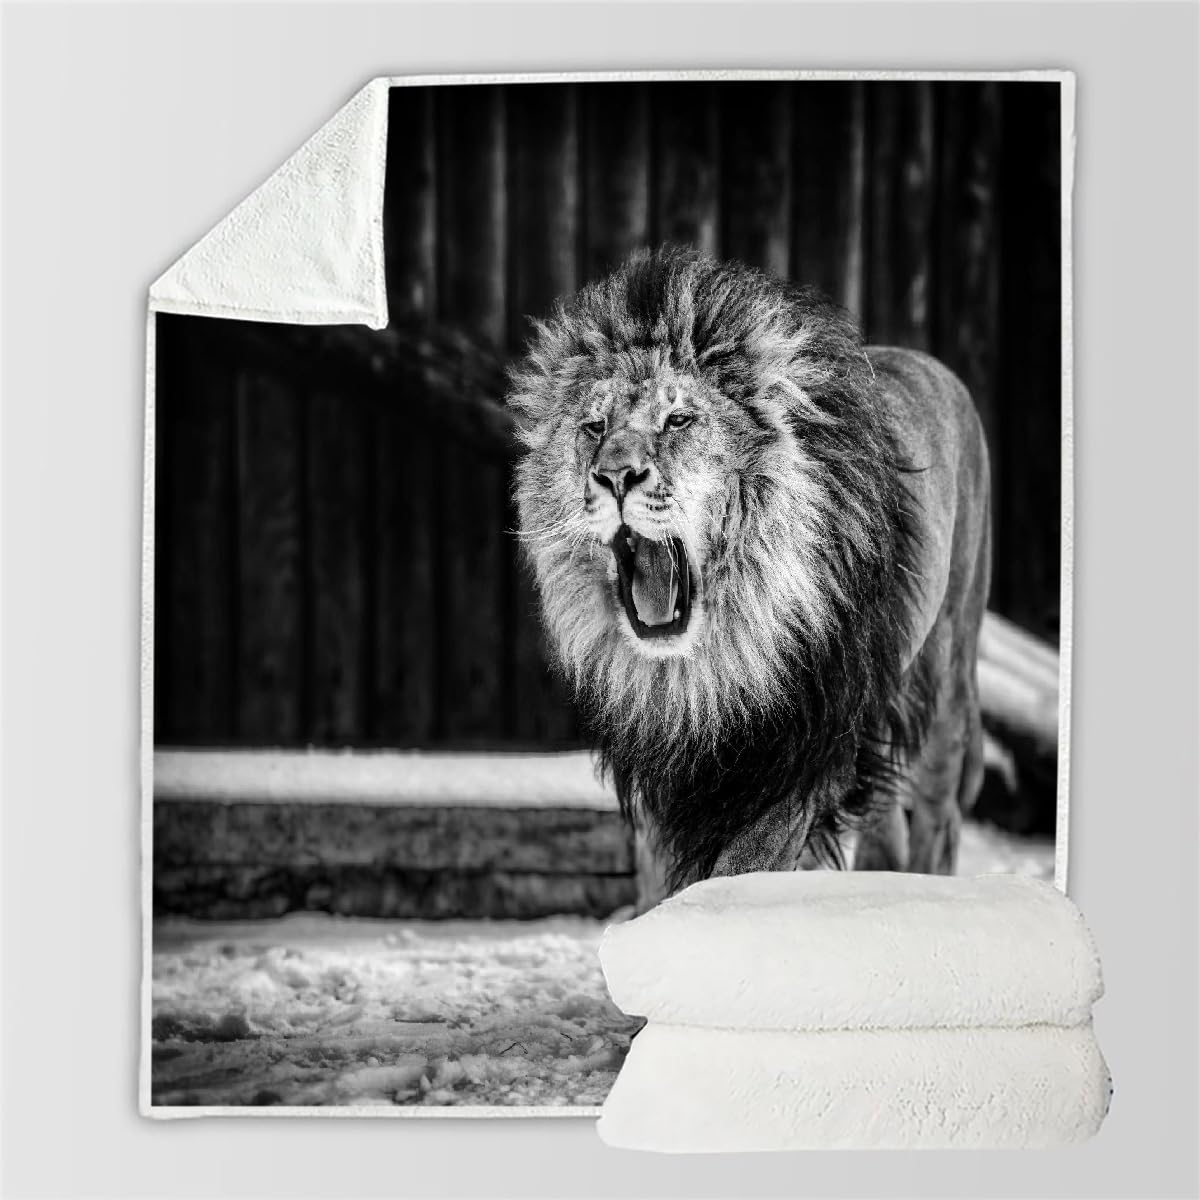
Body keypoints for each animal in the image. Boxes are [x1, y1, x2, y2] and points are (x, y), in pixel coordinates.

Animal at [508, 246, 991, 907]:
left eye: (678, 420)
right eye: (593, 427)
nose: (614, 477)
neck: (709, 666)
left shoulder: (800, 754)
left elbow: (735, 873)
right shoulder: (665, 770)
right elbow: (660, 883)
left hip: (946, 676)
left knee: (940, 819)